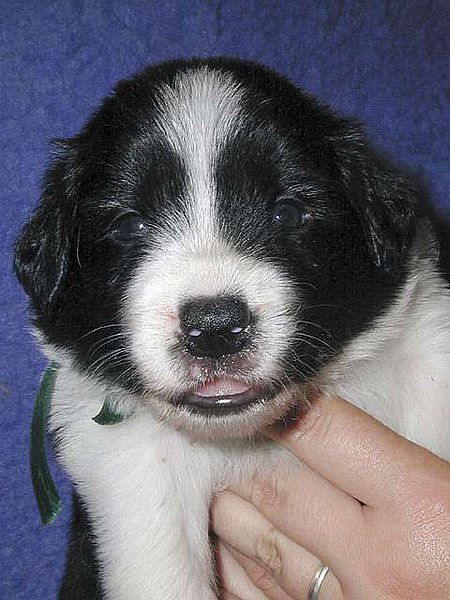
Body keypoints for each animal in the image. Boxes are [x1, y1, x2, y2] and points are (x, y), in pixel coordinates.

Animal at [15, 58, 450, 599]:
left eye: (288, 212)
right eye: (129, 225)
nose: (215, 327)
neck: (247, 441)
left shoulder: (428, 348)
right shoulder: (133, 466)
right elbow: (164, 572)